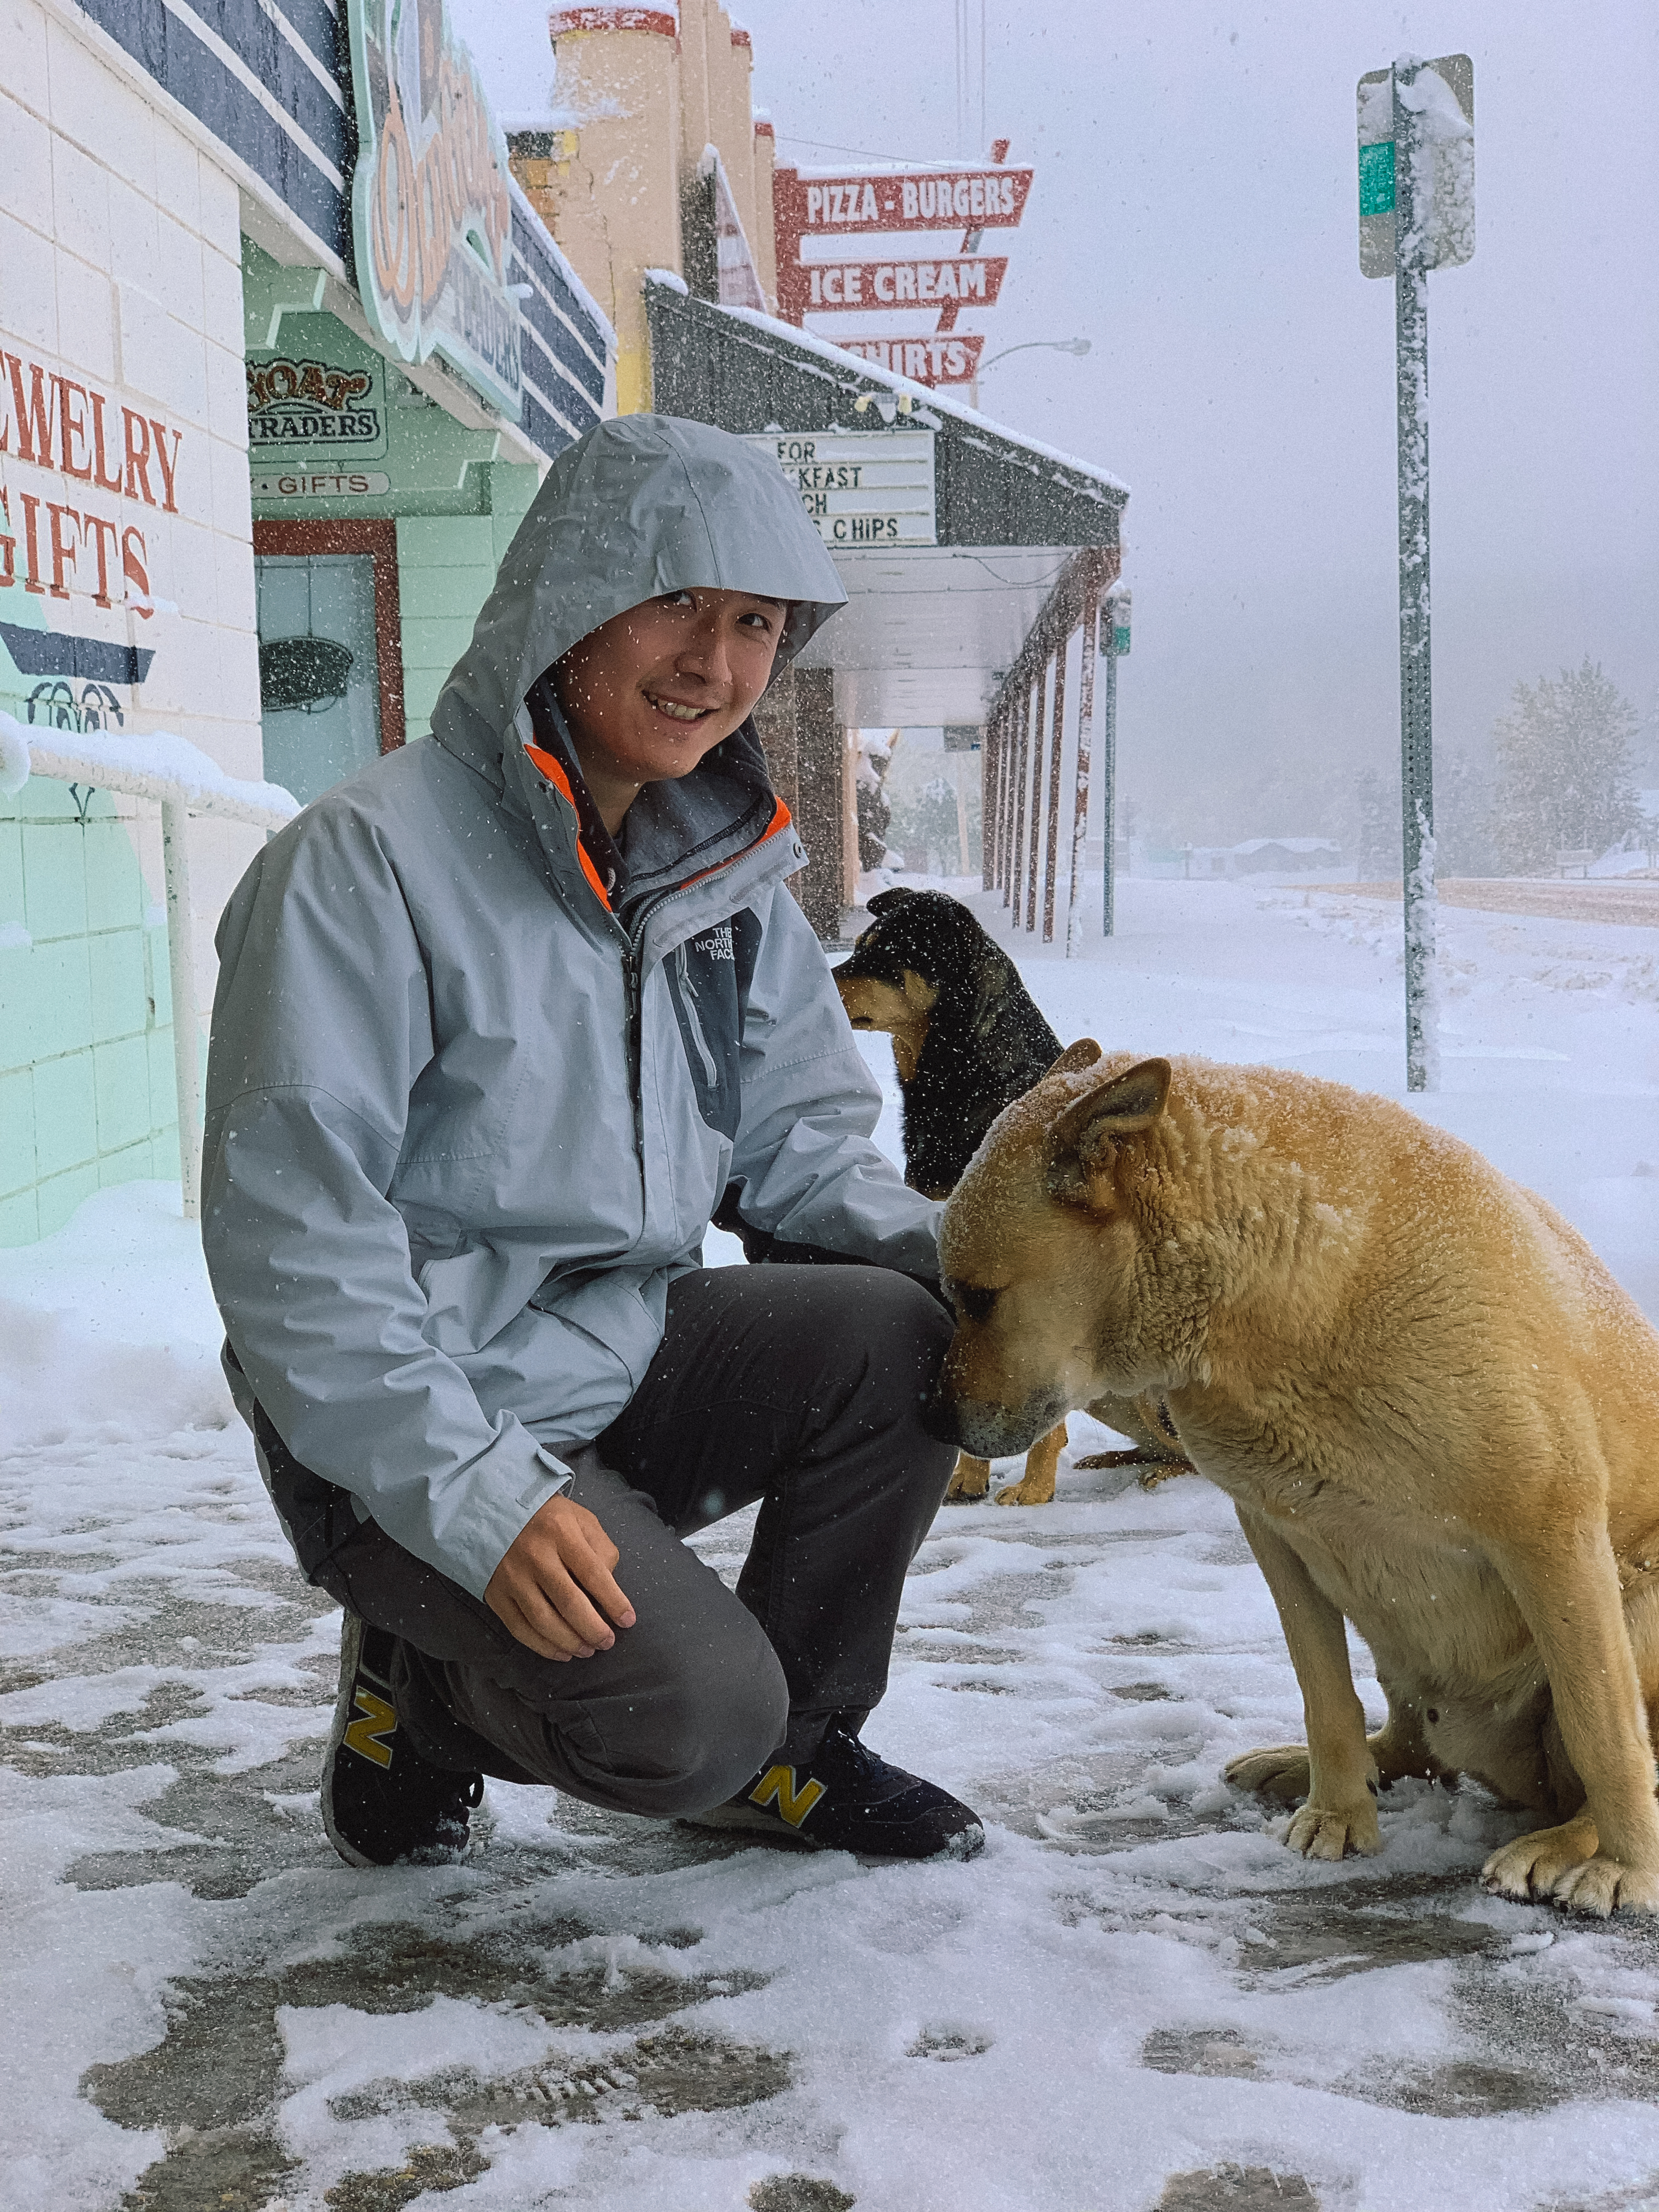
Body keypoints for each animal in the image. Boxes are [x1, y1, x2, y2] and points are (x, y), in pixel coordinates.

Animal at [836, 893, 1186, 1504]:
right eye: (858, 948)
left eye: (883, 955)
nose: (822, 977)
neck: (963, 1078)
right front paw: (968, 1476)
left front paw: (1034, 1488)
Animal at [929, 1044, 1659, 1911]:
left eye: (977, 1297)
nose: (933, 1420)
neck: (1288, 1295)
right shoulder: (1279, 1532)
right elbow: (1325, 1694)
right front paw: (1338, 1813)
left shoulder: (1550, 1531)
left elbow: (1602, 1727)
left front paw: (1628, 1866)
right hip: (1398, 1637)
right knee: (1415, 1743)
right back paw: (1309, 1765)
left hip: (1639, 1596)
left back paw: (1567, 1842)